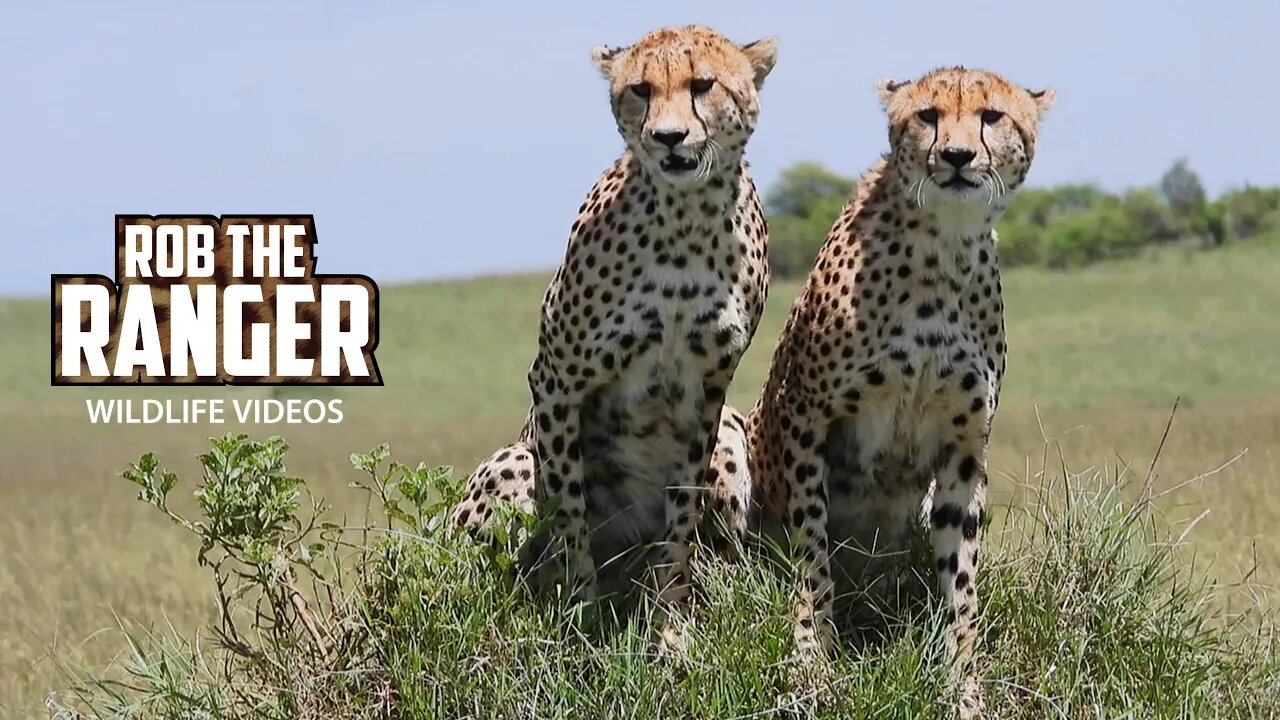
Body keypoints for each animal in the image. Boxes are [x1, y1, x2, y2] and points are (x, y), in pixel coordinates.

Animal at [445, 26, 773, 632]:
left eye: (703, 85)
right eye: (640, 89)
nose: (669, 138)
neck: (687, 219)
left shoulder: (708, 390)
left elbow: (681, 518)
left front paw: (672, 623)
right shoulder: (556, 379)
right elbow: (569, 513)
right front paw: (582, 610)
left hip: (731, 436)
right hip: (514, 465)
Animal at [747, 65, 1054, 707]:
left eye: (992, 116)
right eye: (928, 115)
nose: (957, 156)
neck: (944, 247)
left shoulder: (965, 447)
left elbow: (962, 581)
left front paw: (964, 684)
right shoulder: (807, 414)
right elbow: (811, 550)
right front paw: (812, 658)